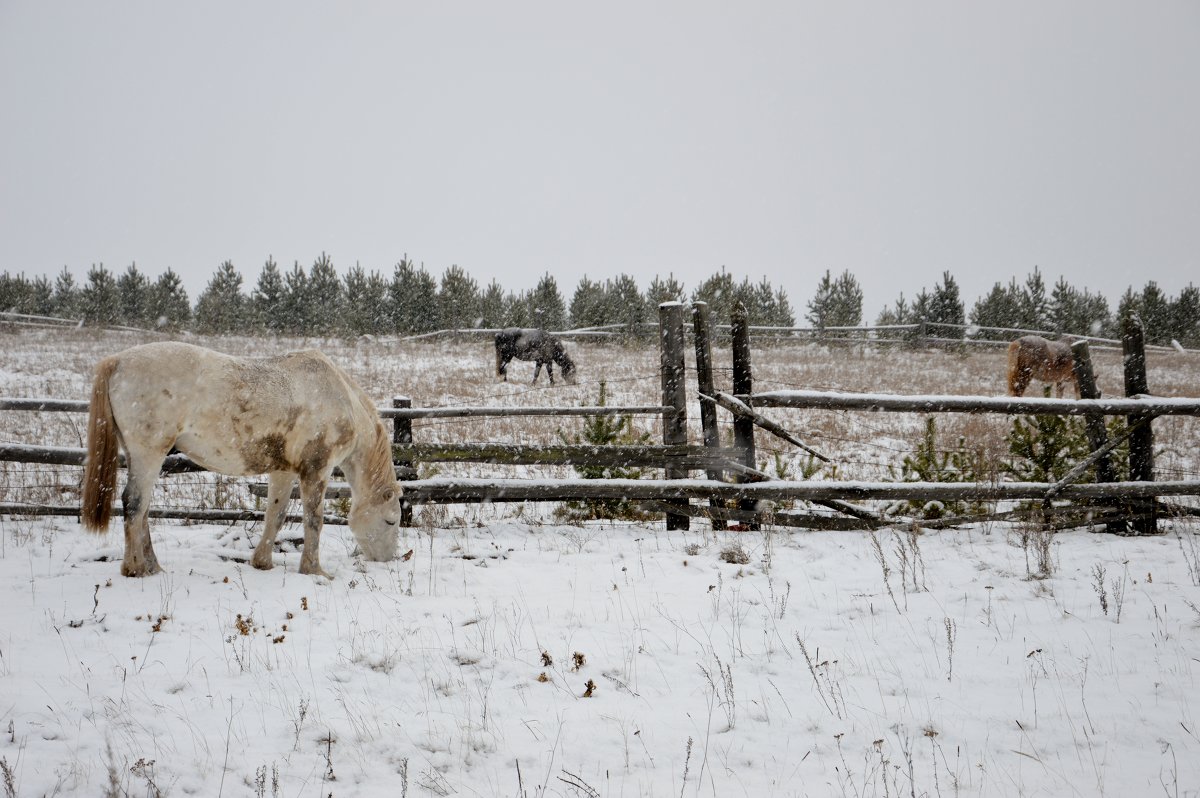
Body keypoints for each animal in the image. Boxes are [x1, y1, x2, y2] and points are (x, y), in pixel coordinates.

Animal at [83, 338, 408, 576]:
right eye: (391, 521)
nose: (385, 560)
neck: (340, 398)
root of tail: (118, 360)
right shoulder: (317, 470)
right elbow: (313, 520)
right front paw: (314, 571)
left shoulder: (284, 470)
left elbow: (276, 515)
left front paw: (262, 562)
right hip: (148, 453)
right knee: (134, 503)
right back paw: (135, 568)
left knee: (144, 509)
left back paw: (153, 566)